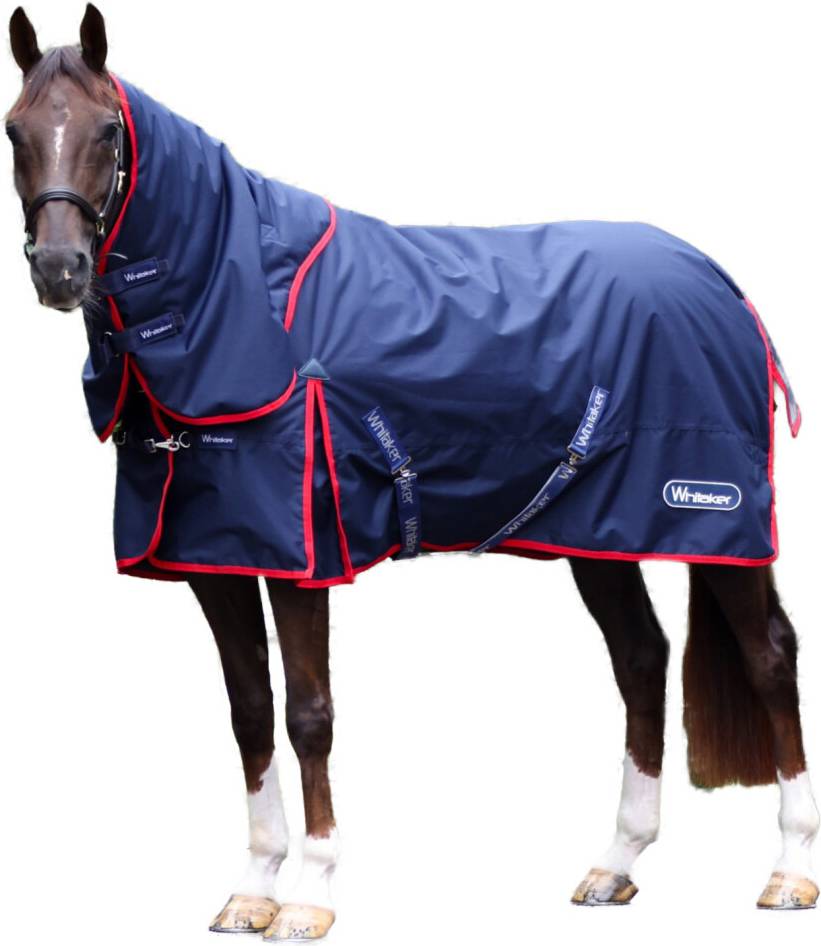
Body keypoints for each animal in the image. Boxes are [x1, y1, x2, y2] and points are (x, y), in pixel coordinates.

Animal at [5, 5, 818, 939]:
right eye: (14, 130)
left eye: (107, 131)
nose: (59, 271)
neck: (241, 304)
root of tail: (722, 284)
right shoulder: (215, 556)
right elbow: (249, 714)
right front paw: (252, 887)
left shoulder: (304, 556)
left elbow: (308, 715)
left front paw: (311, 893)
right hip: (599, 532)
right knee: (641, 657)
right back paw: (615, 864)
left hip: (716, 522)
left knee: (768, 657)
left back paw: (789, 870)